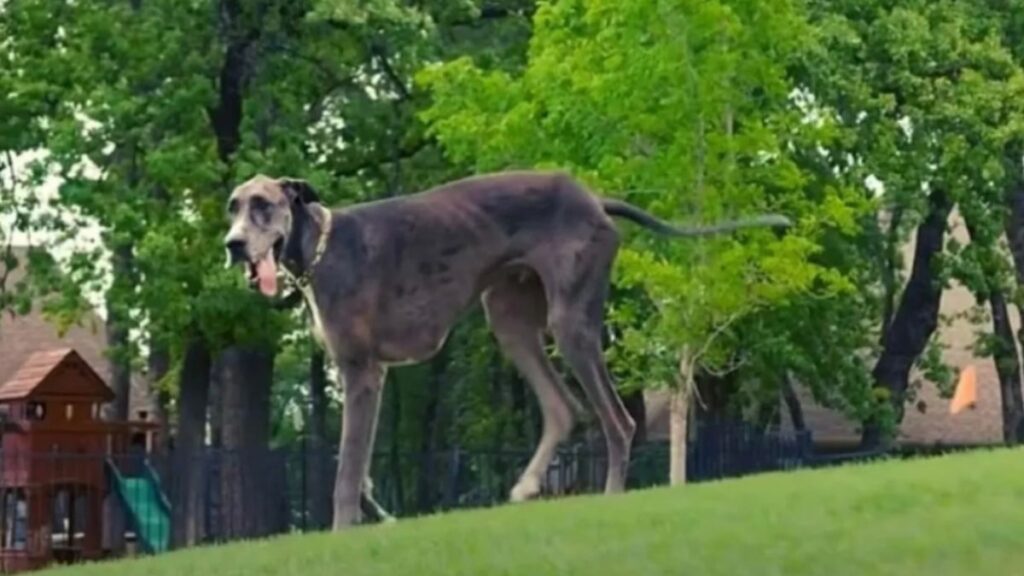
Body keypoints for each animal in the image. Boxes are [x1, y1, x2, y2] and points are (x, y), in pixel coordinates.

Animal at [220, 168, 786, 528]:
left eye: (264, 205)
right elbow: (356, 471)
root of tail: (593, 197)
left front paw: (342, 534)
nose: (232, 245)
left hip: (570, 324)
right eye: (232, 207)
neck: (322, 246)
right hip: (510, 319)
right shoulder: (355, 374)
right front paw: (379, 515)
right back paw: (526, 486)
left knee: (618, 422)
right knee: (564, 408)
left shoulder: (363, 373)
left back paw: (608, 499)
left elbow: (345, 473)